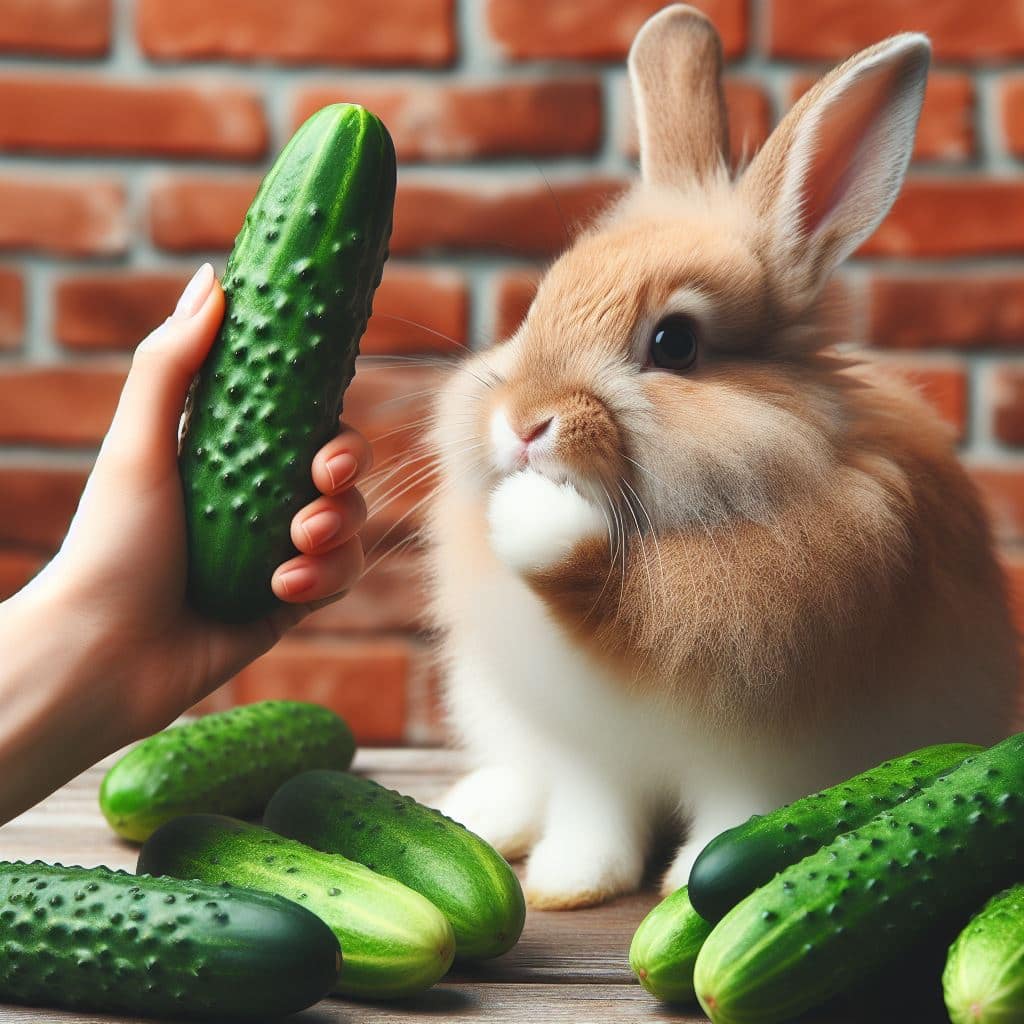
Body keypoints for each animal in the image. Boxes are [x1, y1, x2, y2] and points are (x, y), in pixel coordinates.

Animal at [422, 4, 1020, 910]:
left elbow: (732, 823)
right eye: (536, 305)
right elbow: (594, 816)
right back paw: (484, 811)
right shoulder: (590, 756)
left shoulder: (762, 758)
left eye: (676, 343)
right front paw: (571, 882)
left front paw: (688, 889)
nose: (524, 425)